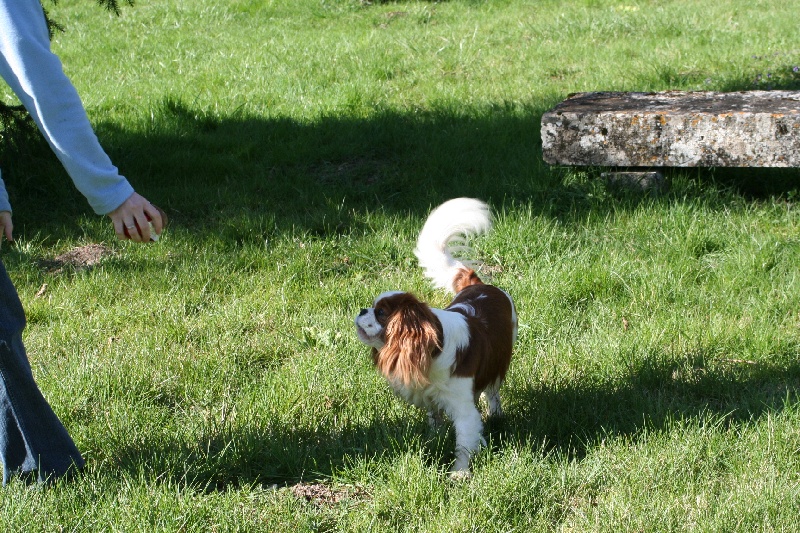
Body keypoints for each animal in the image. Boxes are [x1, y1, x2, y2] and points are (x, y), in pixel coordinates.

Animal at [352, 196, 516, 474]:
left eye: (381, 312)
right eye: (372, 307)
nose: (363, 310)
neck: (432, 350)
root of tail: (480, 285)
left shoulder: (463, 408)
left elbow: (464, 442)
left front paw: (459, 473)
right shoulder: (429, 396)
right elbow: (435, 419)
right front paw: (434, 438)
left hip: (500, 359)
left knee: (492, 390)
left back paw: (496, 414)